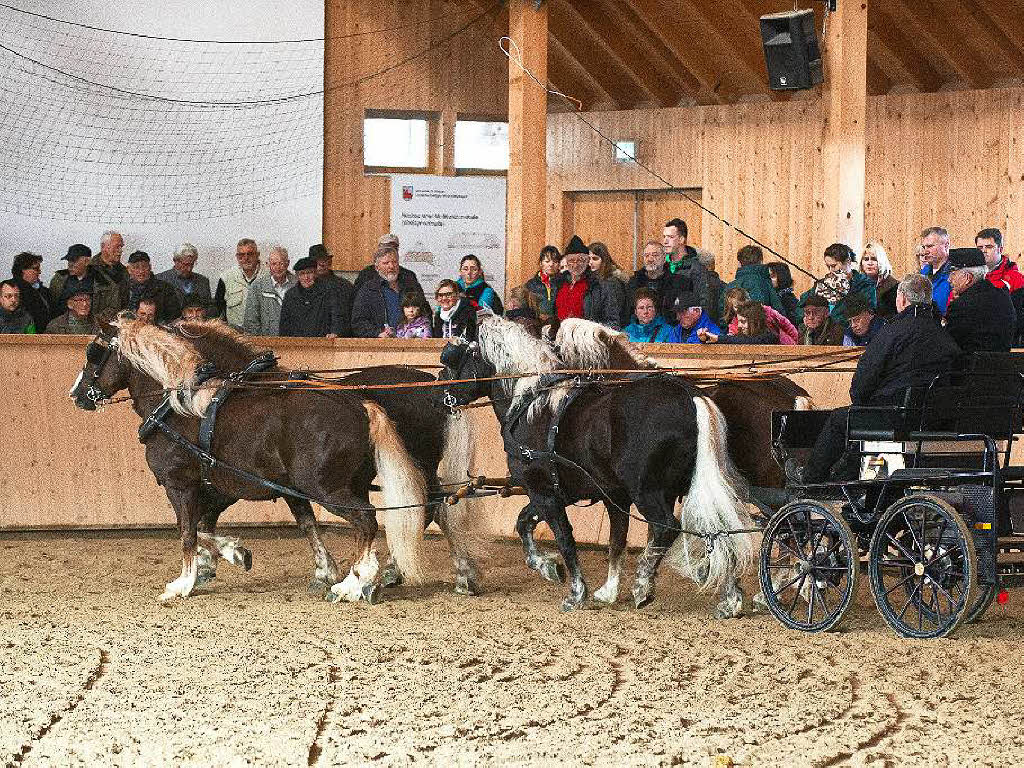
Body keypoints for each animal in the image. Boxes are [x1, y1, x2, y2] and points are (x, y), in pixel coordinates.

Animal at [69, 315, 428, 606]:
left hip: (327, 489)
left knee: (366, 520)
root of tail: (361, 406)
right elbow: (216, 526)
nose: (76, 394)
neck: (178, 408)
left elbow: (187, 530)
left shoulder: (180, 485)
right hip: (344, 485)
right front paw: (223, 558)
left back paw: (355, 584)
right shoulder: (232, 487)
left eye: (93, 354)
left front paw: (186, 580)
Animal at [168, 321, 483, 598]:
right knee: (436, 507)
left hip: (417, 464)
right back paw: (457, 574)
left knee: (429, 509)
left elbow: (200, 522)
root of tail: (436, 389)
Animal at [440, 315, 753, 618]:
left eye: (454, 358)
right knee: (718, 526)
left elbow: (564, 538)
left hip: (647, 492)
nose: (443, 392)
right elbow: (535, 524)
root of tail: (690, 395)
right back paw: (729, 599)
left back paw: (643, 585)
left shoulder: (544, 492)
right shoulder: (580, 494)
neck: (530, 403)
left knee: (667, 526)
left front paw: (576, 592)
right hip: (694, 485)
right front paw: (561, 572)